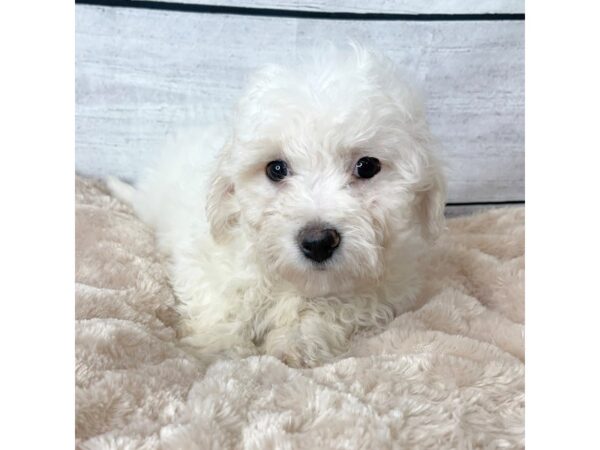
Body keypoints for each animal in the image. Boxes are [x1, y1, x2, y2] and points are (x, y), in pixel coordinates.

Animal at [109, 44, 446, 368]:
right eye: (276, 169)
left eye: (366, 167)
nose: (318, 242)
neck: (292, 280)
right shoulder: (203, 259)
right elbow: (220, 305)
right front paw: (220, 348)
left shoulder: (377, 291)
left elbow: (330, 310)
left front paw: (297, 342)